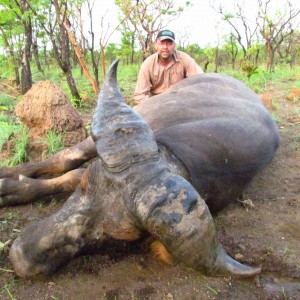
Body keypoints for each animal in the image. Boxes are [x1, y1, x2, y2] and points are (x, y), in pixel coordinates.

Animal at [1, 59, 280, 278]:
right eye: (86, 186)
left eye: (115, 237)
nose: (21, 258)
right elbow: (69, 163)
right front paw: (9, 185)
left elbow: (70, 173)